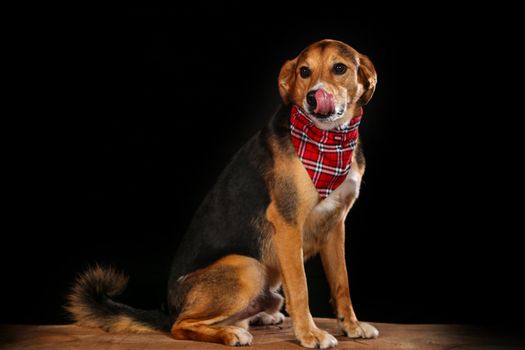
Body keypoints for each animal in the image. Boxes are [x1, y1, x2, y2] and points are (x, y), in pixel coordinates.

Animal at [67, 39, 378, 348]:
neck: (330, 141)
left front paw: (351, 325)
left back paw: (259, 318)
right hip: (247, 267)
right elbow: (300, 288)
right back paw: (231, 333)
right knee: (181, 327)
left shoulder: (335, 225)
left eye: (340, 68)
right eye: (304, 71)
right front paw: (309, 333)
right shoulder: (288, 225)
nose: (314, 98)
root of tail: (168, 309)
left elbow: (341, 283)